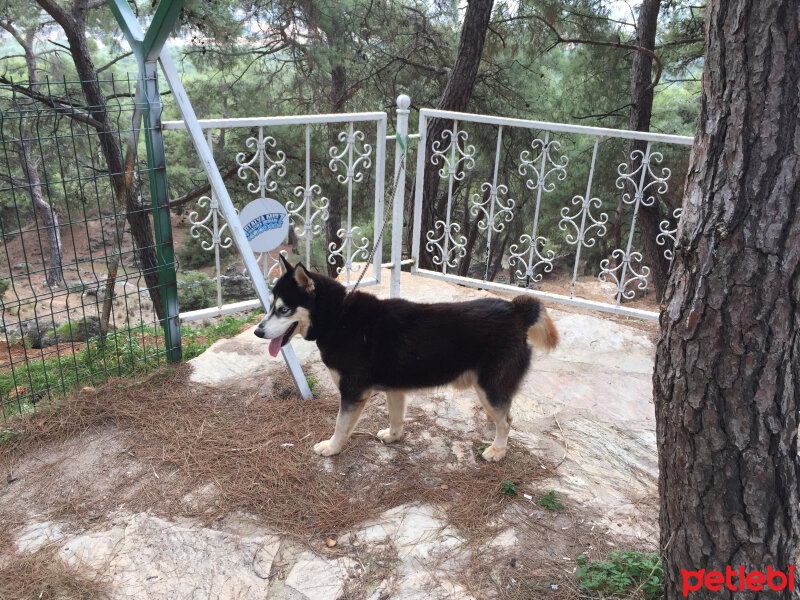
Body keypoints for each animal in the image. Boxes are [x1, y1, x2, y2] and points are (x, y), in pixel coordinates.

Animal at [255, 255, 556, 462]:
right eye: (269, 306)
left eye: (283, 309)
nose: (258, 331)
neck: (339, 317)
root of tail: (515, 310)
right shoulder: (395, 389)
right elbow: (396, 417)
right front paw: (393, 436)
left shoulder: (353, 393)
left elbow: (341, 425)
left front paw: (331, 447)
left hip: (489, 388)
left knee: (506, 421)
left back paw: (497, 450)